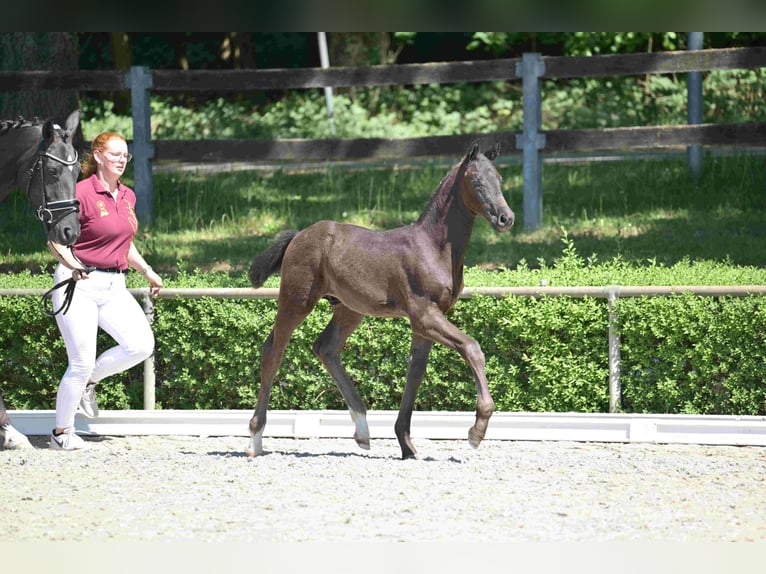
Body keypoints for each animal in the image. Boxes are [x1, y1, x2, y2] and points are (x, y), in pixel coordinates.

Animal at [246, 140, 514, 459]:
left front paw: (406, 444)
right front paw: (476, 431)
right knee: (273, 350)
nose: (506, 218)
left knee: (326, 348)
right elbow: (472, 348)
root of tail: (299, 235)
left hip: (349, 310)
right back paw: (255, 439)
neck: (434, 248)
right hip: (295, 301)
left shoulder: (426, 322)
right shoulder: (424, 314)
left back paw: (362, 431)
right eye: (476, 182)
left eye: (499, 179)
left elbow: (415, 372)